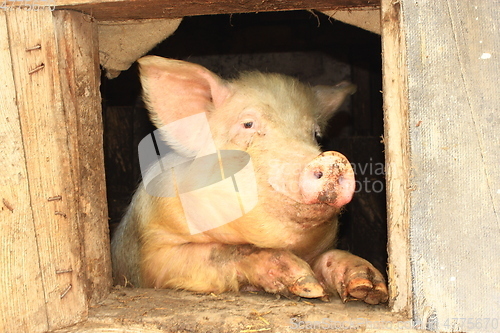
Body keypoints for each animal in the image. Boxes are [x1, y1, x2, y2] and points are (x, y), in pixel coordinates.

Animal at [111, 55, 388, 304]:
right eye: (247, 124)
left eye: (315, 134)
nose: (332, 160)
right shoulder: (153, 255)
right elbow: (220, 252)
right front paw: (304, 283)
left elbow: (330, 256)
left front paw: (369, 286)